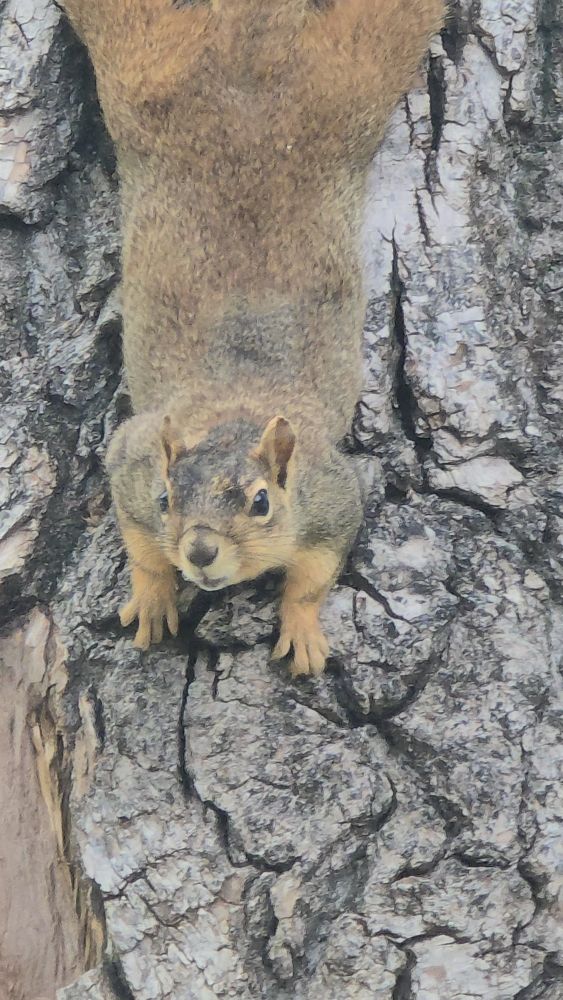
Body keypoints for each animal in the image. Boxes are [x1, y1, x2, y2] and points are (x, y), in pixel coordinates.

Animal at [61, 0, 444, 676]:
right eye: (166, 499)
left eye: (261, 503)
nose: (200, 552)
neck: (231, 414)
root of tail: (251, 42)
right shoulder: (130, 459)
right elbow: (138, 543)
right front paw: (155, 594)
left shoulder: (331, 494)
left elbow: (315, 574)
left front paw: (302, 628)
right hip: (137, 54)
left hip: (357, 71)